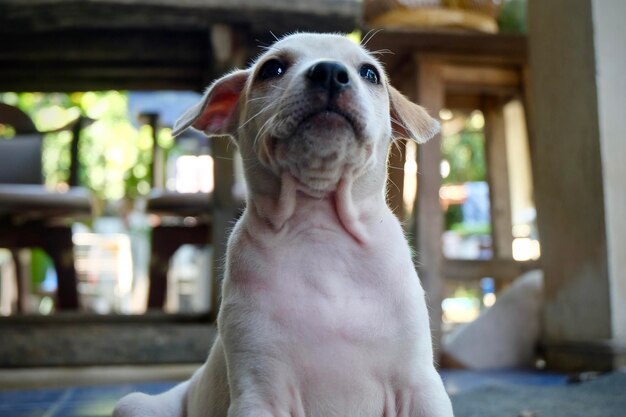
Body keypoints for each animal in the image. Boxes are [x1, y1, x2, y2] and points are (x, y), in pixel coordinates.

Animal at [114, 32, 450, 416]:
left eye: (370, 73)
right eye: (270, 69)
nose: (330, 73)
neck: (321, 231)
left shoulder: (419, 386)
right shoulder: (260, 391)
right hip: (136, 404)